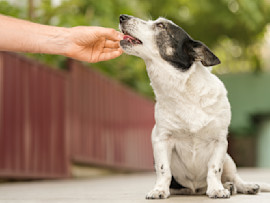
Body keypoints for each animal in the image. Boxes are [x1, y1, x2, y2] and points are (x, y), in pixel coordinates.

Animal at [118, 14, 270, 200]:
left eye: (161, 25)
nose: (122, 17)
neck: (182, 91)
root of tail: (196, 189)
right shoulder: (162, 140)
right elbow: (164, 170)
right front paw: (159, 190)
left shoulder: (220, 141)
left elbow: (214, 168)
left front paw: (217, 189)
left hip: (228, 159)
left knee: (234, 177)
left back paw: (241, 186)